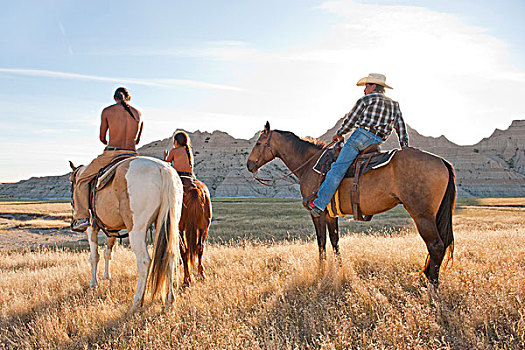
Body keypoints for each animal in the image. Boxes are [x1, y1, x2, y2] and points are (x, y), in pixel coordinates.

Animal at [69, 157, 184, 310]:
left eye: (72, 181)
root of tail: (163, 169)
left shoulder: (91, 228)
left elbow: (94, 256)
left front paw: (93, 283)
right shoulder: (112, 230)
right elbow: (107, 252)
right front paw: (107, 276)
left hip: (136, 230)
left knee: (144, 261)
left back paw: (137, 302)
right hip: (166, 224)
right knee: (170, 256)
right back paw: (170, 301)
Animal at [246, 121, 454, 286]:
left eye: (258, 143)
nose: (249, 165)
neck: (309, 165)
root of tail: (442, 161)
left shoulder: (317, 213)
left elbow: (321, 242)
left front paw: (321, 272)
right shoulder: (331, 214)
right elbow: (335, 241)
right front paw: (339, 269)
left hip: (422, 215)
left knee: (436, 245)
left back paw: (432, 284)